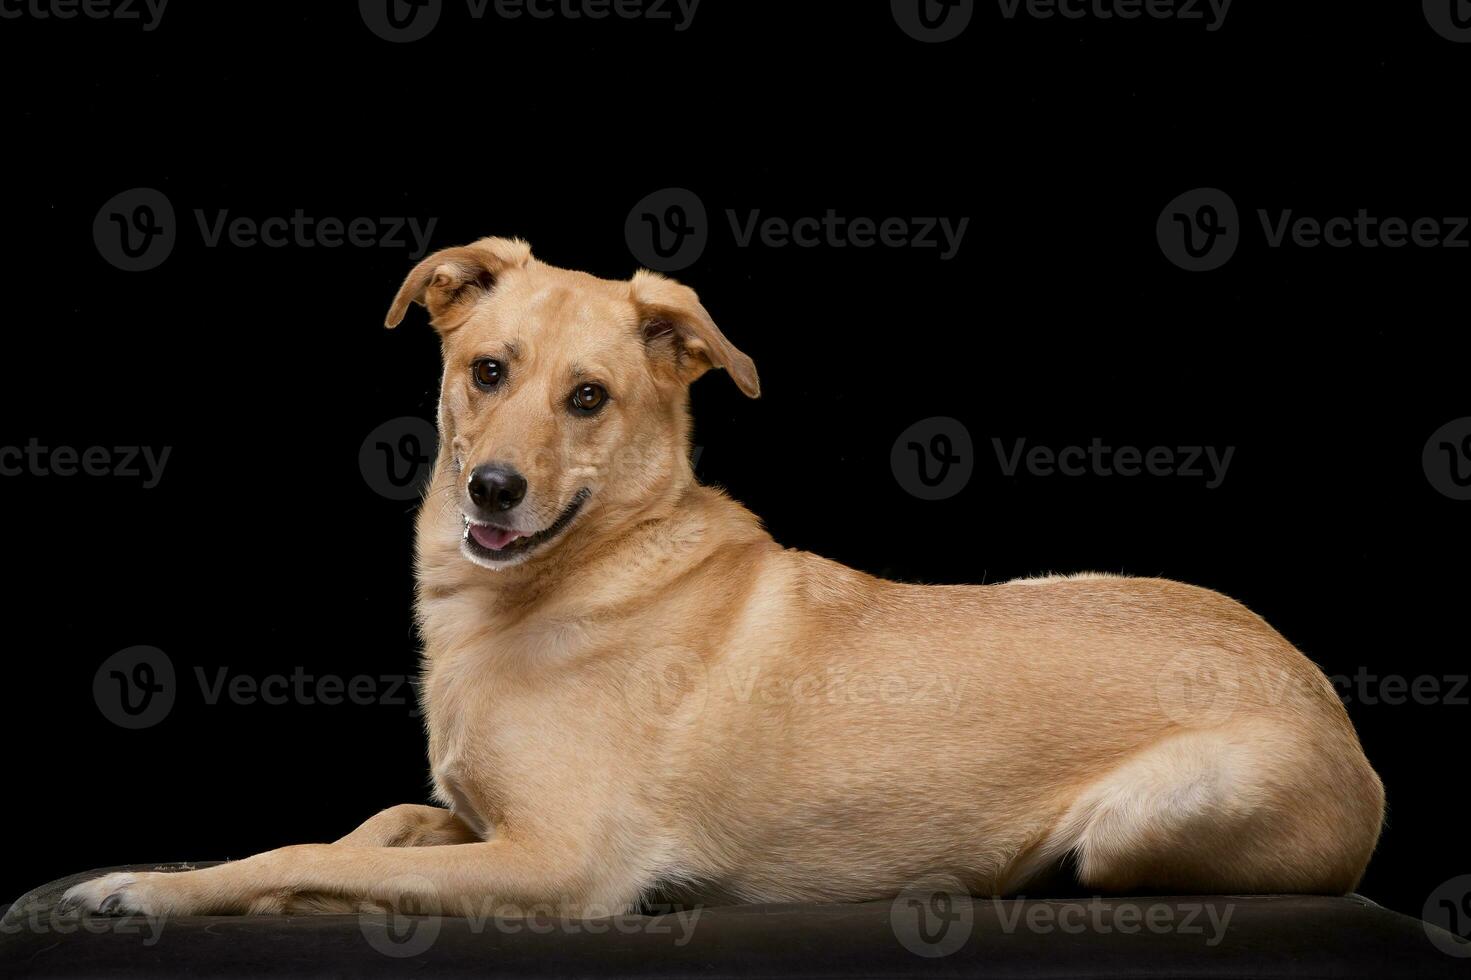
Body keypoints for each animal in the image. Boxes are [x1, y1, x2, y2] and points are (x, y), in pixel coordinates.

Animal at [66, 236, 1376, 918]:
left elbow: (314, 857)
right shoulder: (476, 818)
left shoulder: (560, 864)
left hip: (1145, 814)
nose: (491, 489)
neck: (573, 578)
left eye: (589, 396)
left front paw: (152, 887)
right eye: (487, 369)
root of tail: (1329, 702)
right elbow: (374, 825)